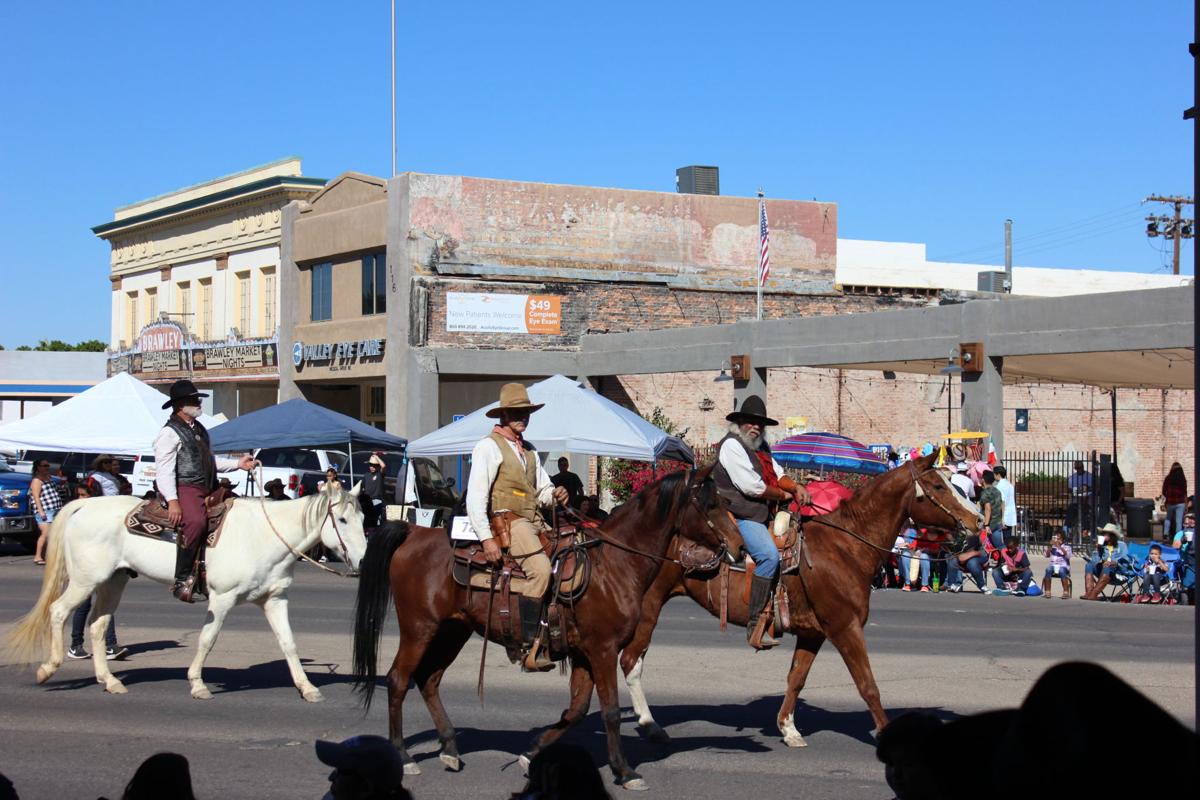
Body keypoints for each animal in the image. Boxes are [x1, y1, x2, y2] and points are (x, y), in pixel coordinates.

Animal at [4, 482, 364, 700]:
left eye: (363, 518)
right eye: (343, 520)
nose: (362, 560)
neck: (263, 536)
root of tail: (83, 505)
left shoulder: (274, 599)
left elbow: (288, 643)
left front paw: (307, 688)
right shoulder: (222, 598)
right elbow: (207, 639)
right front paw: (197, 684)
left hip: (113, 580)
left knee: (98, 625)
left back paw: (111, 681)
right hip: (85, 580)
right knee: (59, 611)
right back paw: (47, 669)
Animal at [348, 470, 739, 786]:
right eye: (710, 503)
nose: (737, 546)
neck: (613, 565)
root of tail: (415, 532)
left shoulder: (584, 654)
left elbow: (576, 711)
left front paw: (530, 754)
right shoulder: (603, 650)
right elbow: (611, 712)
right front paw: (625, 771)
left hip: (452, 631)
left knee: (429, 679)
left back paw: (450, 749)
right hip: (419, 628)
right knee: (398, 679)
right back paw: (404, 757)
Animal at [624, 455, 979, 753]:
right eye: (938, 486)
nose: (976, 520)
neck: (844, 547)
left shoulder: (813, 633)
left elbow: (796, 678)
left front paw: (788, 729)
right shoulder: (845, 627)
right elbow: (867, 685)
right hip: (649, 609)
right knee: (631, 661)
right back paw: (650, 725)